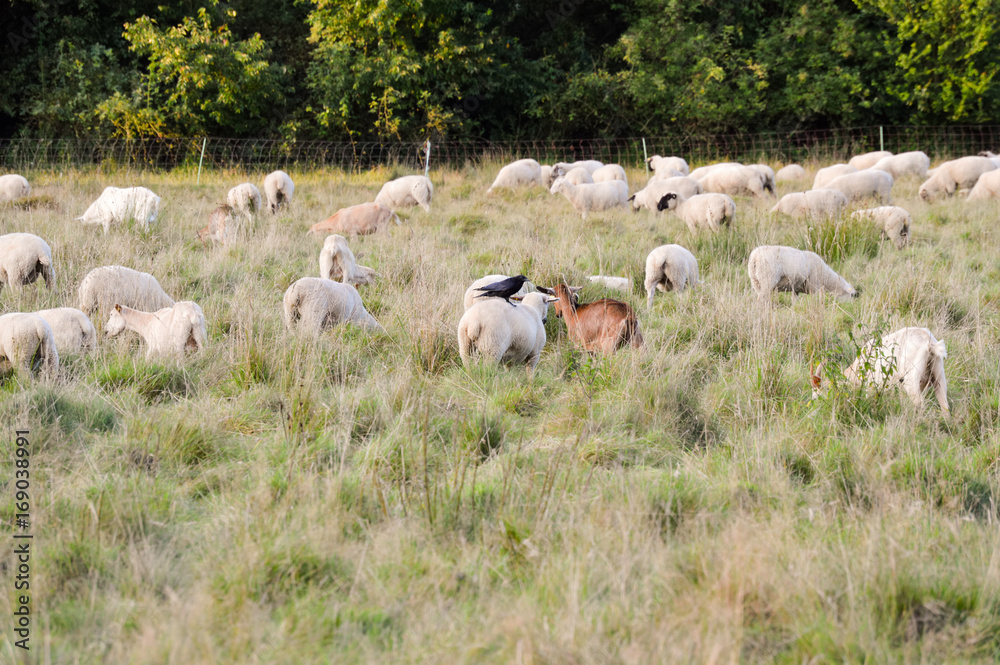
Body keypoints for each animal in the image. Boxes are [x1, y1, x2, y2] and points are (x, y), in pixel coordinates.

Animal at [811, 327, 949, 418]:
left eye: (816, 396)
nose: (813, 415)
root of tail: (929, 343)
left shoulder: (870, 386)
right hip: (938, 374)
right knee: (944, 405)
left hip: (911, 379)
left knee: (918, 403)